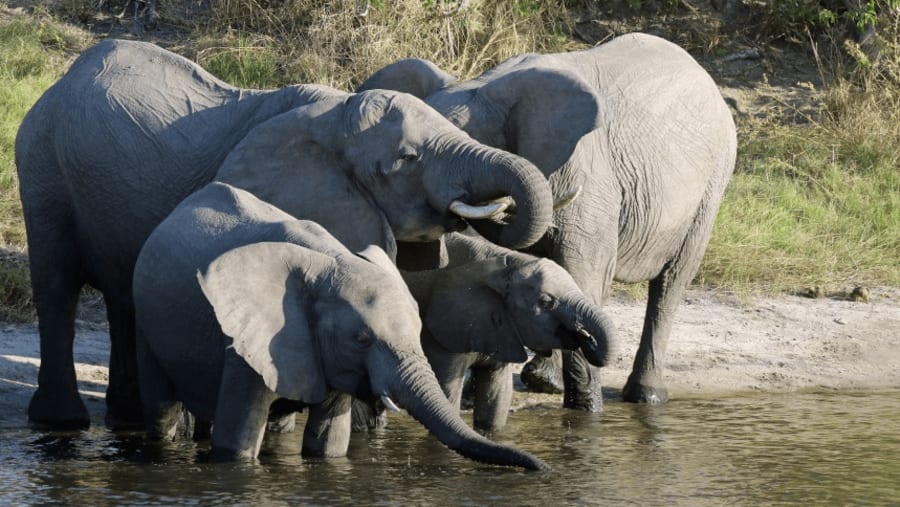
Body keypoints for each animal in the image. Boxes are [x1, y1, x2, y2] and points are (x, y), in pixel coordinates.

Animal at [14, 39, 554, 429]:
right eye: (406, 160)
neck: (335, 113)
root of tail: (60, 80)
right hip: (42, 168)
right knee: (57, 286)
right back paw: (63, 423)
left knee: (124, 300)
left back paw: (124, 418)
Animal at [133, 181, 548, 470]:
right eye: (361, 339)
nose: (542, 467)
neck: (328, 263)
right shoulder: (250, 343)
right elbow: (236, 446)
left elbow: (329, 444)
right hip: (144, 316)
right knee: (160, 408)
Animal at [357, 32, 738, 408]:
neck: (487, 87)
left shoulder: (591, 177)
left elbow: (584, 270)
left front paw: (583, 409)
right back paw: (543, 381)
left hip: (713, 182)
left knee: (672, 280)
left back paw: (645, 396)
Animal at [401, 231, 616, 432]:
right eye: (546, 302)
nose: (586, 336)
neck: (510, 264)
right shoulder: (446, 329)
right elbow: (447, 392)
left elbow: (497, 400)